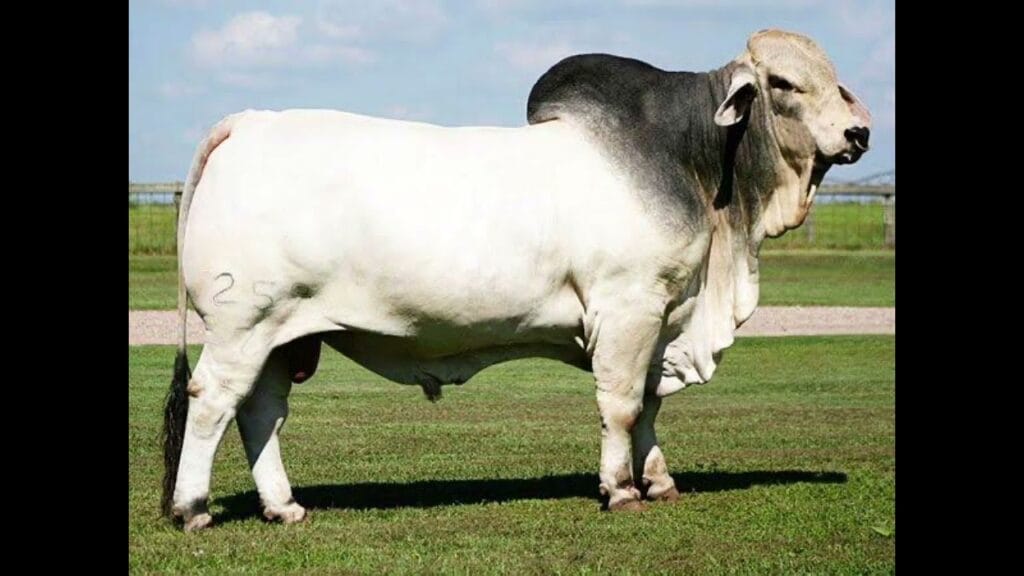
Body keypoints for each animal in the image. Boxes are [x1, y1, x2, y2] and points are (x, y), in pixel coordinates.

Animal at [162, 29, 870, 531]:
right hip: (241, 327)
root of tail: (250, 122)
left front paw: (660, 482)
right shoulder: (628, 307)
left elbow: (648, 404)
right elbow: (620, 405)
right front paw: (621, 490)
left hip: (283, 337)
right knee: (213, 402)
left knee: (261, 410)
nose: (859, 131)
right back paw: (192, 508)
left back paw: (283, 507)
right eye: (783, 82)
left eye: (833, 79)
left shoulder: (663, 317)